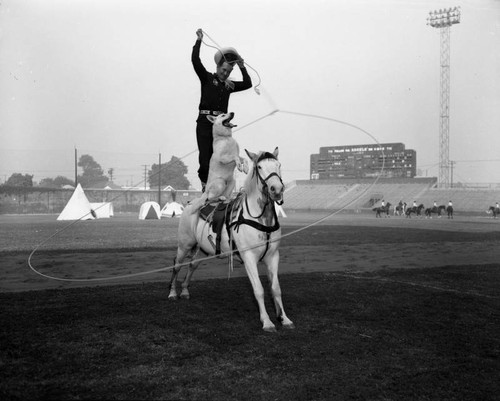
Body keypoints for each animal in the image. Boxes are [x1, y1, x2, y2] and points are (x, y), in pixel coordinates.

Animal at [169, 147, 292, 332]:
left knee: (192, 265)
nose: (276, 189)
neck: (259, 219)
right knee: (177, 265)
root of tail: (191, 204)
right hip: (185, 245)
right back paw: (172, 293)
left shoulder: (273, 256)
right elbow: (259, 289)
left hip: (203, 249)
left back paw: (184, 291)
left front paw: (284, 318)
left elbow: (276, 288)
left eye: (278, 165)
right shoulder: (249, 257)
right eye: (259, 167)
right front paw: (267, 322)